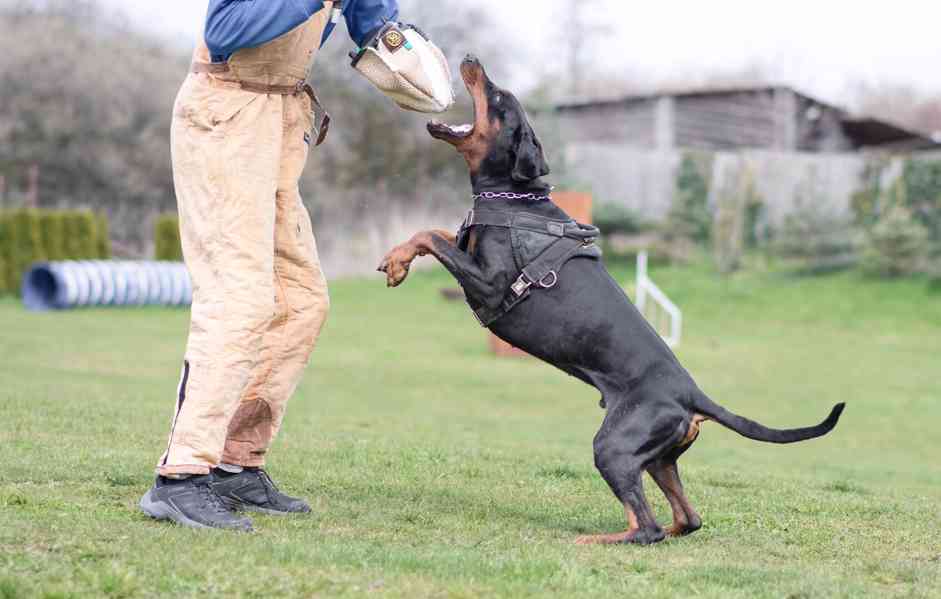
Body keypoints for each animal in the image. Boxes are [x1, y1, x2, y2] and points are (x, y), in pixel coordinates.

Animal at [376, 57, 844, 548]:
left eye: (499, 97)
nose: (471, 60)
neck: (514, 197)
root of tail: (692, 394)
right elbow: (435, 233)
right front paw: (396, 259)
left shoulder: (489, 283)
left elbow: (431, 235)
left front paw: (398, 262)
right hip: (656, 457)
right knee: (686, 519)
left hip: (614, 446)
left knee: (647, 528)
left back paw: (593, 540)